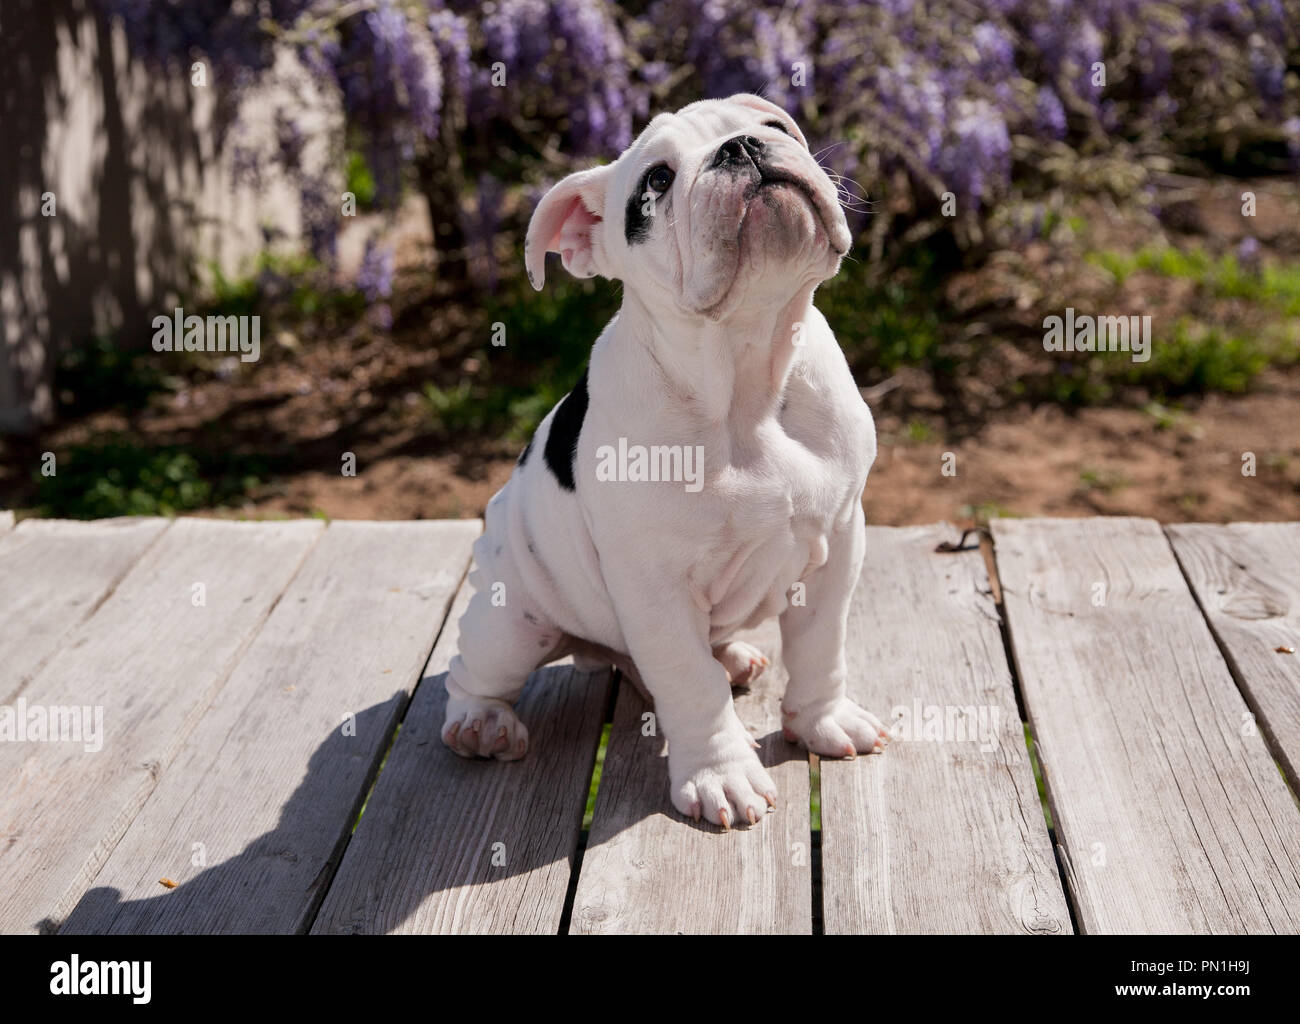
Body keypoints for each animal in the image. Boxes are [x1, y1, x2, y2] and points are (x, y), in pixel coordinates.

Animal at [441, 94, 889, 831]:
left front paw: (823, 721)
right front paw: (721, 775)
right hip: (515, 618)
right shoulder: (656, 588)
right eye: (655, 181)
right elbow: (689, 682)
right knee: (474, 671)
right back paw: (483, 724)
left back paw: (733, 655)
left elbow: (821, 646)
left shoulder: (838, 545)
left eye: (776, 128)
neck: (745, 370)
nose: (743, 147)